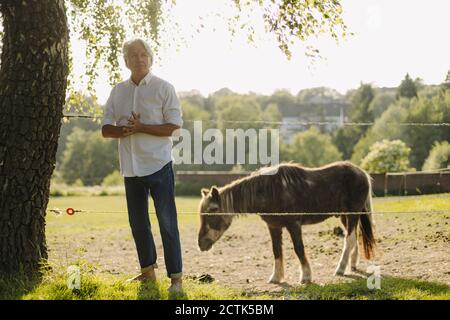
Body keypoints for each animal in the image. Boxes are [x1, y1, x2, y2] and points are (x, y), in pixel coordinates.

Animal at [197, 161, 376, 284]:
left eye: (212, 210)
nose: (201, 244)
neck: (270, 190)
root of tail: (362, 173)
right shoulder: (274, 227)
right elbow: (276, 250)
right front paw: (276, 277)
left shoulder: (294, 225)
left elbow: (298, 249)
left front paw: (306, 276)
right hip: (345, 216)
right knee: (353, 239)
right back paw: (351, 266)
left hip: (352, 215)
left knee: (349, 240)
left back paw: (340, 268)